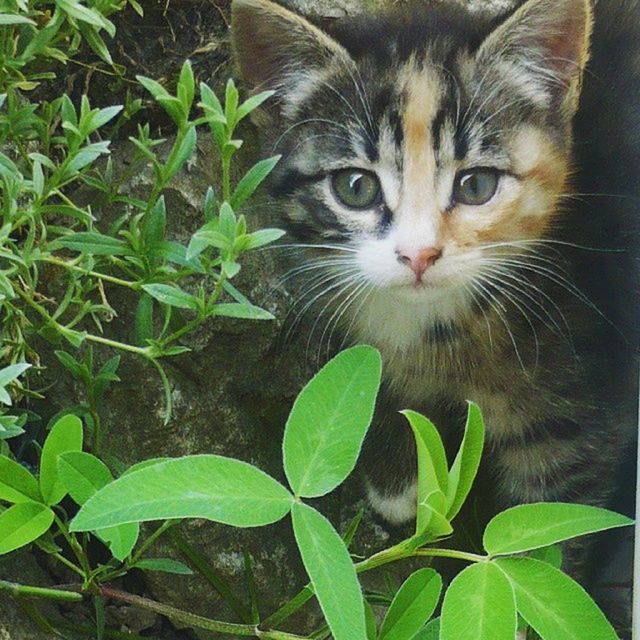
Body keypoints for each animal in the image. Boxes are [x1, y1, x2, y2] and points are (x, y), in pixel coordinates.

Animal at [232, 0, 636, 560]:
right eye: (355, 187)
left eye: (477, 185)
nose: (418, 254)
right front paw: (400, 474)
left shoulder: (578, 412)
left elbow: (551, 531)